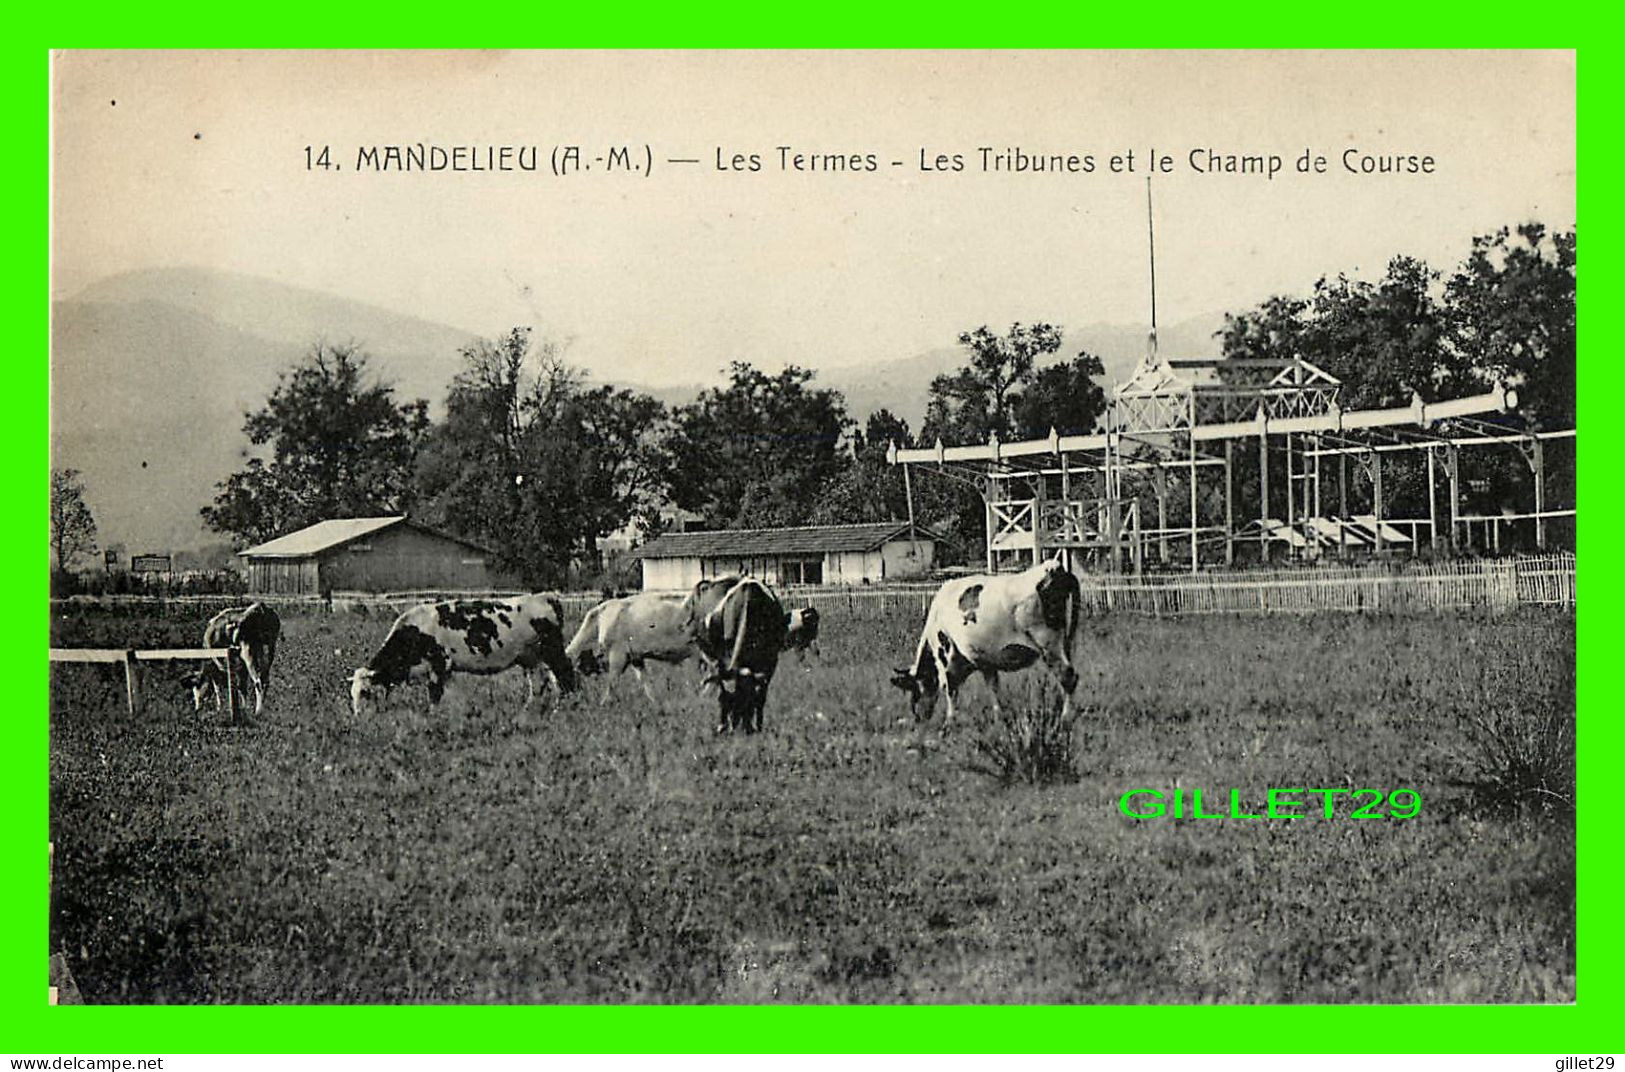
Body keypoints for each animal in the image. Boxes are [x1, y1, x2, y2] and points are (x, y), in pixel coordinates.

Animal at [352, 591, 581, 714]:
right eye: (352, 694)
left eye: (365, 692)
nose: (359, 717)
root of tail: (545, 596)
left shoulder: (439, 664)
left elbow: (434, 695)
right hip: (532, 657)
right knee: (542, 683)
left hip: (552, 650)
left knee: (566, 675)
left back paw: (566, 708)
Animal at [565, 584, 705, 704]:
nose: (572, 694)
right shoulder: (635, 657)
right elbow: (645, 681)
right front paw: (655, 701)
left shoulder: (618, 655)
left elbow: (612, 682)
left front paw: (605, 703)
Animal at [685, 578, 786, 737]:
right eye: (731, 702)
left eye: (746, 701)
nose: (734, 728)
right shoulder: (723, 664)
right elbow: (721, 693)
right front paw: (723, 725)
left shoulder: (770, 661)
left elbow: (761, 697)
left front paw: (758, 727)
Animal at [890, 552, 1079, 727]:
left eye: (914, 689)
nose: (918, 718)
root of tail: (1055, 568)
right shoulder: (986, 662)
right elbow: (993, 688)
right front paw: (999, 716)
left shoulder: (946, 655)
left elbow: (950, 687)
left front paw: (950, 721)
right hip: (1065, 643)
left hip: (1048, 642)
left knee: (1067, 676)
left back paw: (1066, 717)